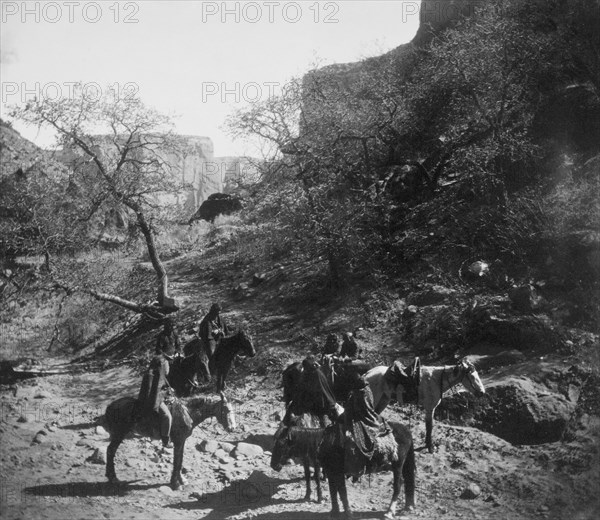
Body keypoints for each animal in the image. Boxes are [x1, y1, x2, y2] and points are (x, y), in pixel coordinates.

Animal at [103, 392, 234, 490]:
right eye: (225, 410)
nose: (232, 428)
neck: (187, 412)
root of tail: (110, 406)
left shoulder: (182, 441)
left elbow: (179, 460)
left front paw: (181, 480)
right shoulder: (179, 441)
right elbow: (177, 461)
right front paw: (175, 484)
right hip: (119, 434)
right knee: (110, 451)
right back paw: (114, 478)